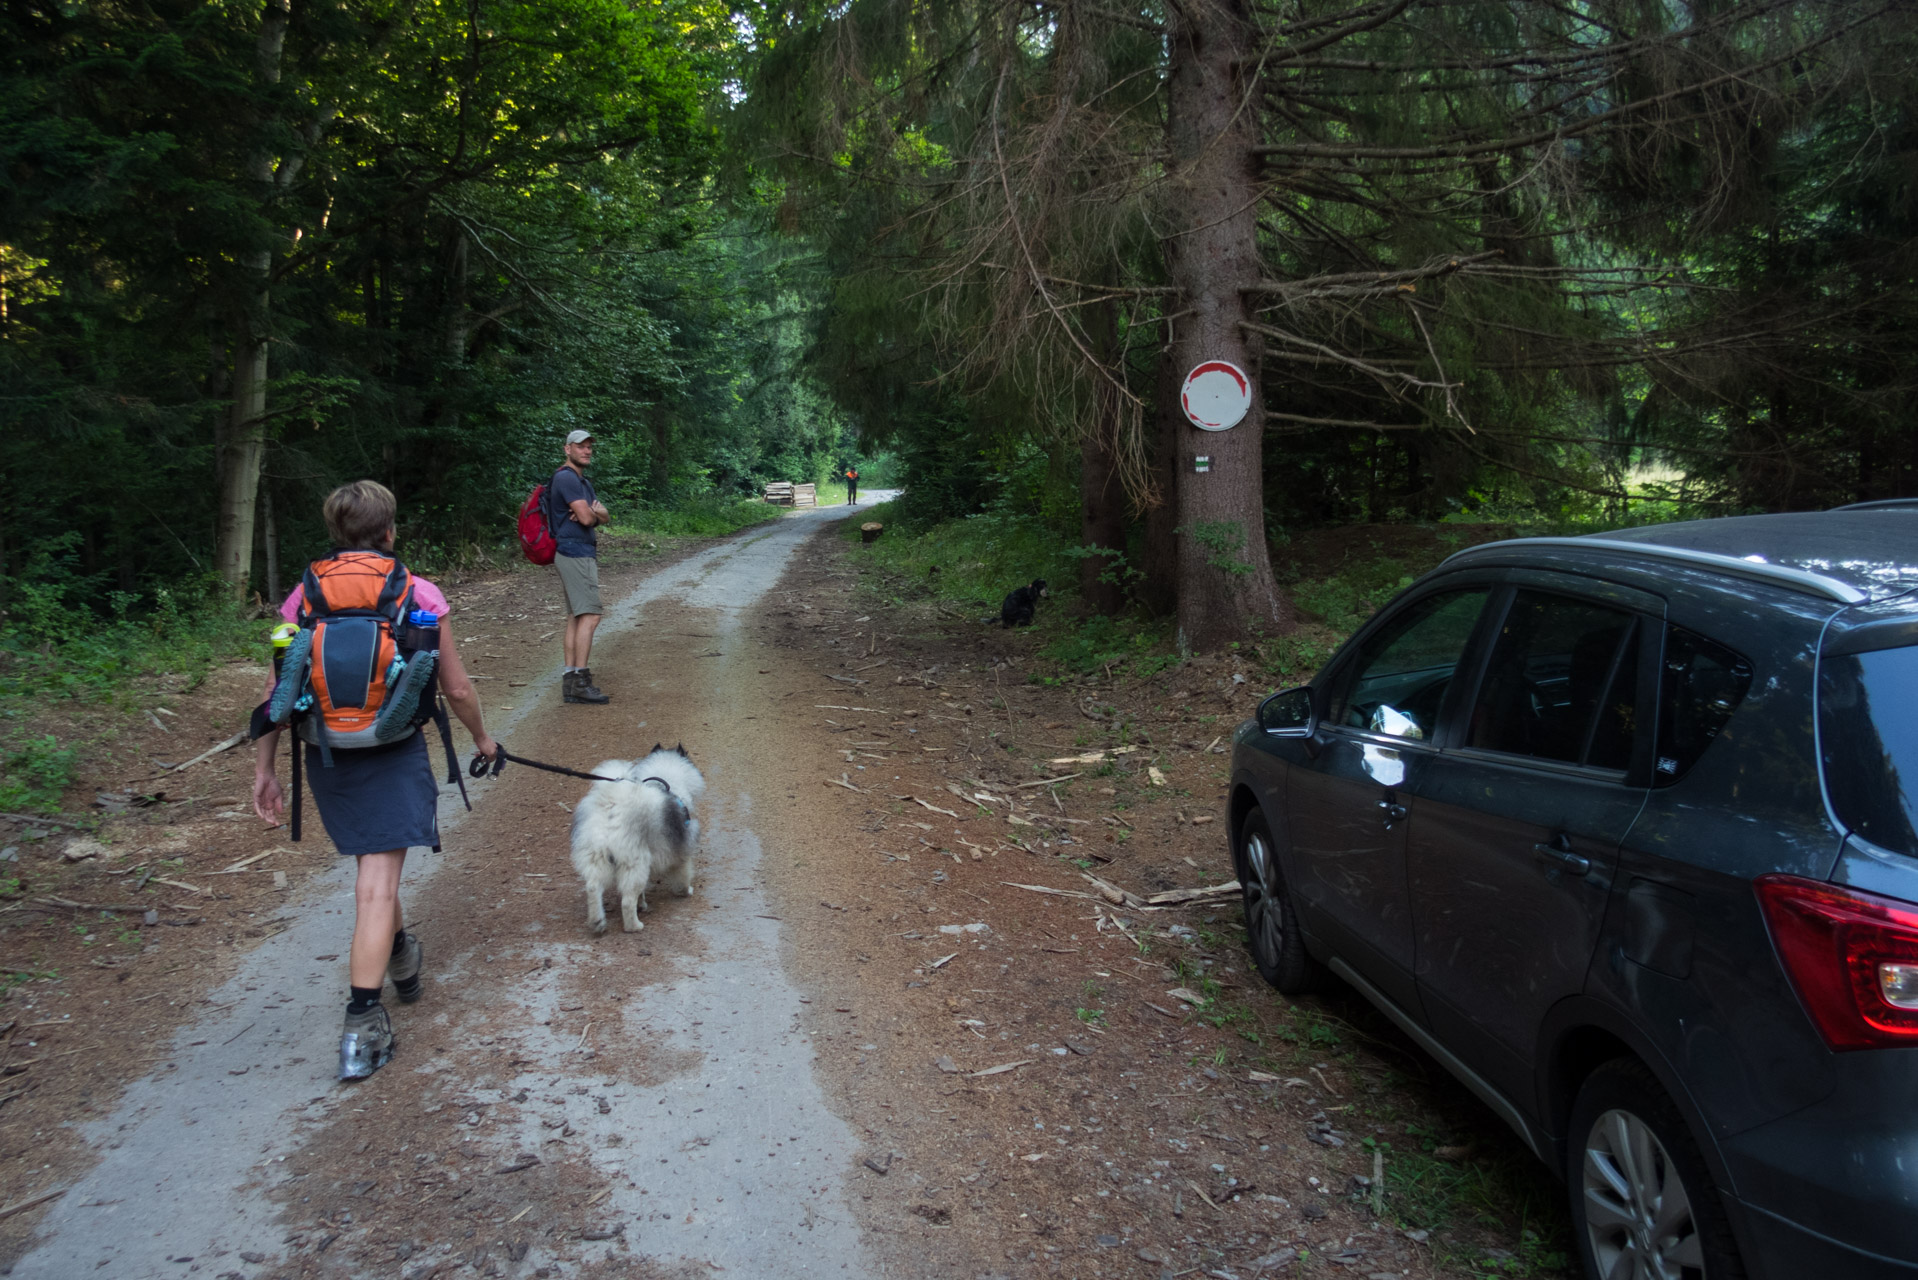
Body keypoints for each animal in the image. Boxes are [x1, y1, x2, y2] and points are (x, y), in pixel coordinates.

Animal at [567, 744, 705, 936]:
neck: (664, 781)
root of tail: (611, 811)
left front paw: (643, 904)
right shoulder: (682, 850)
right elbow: (684, 876)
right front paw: (686, 891)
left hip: (597, 858)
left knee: (593, 888)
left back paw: (597, 922)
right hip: (635, 864)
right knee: (626, 901)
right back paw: (634, 926)